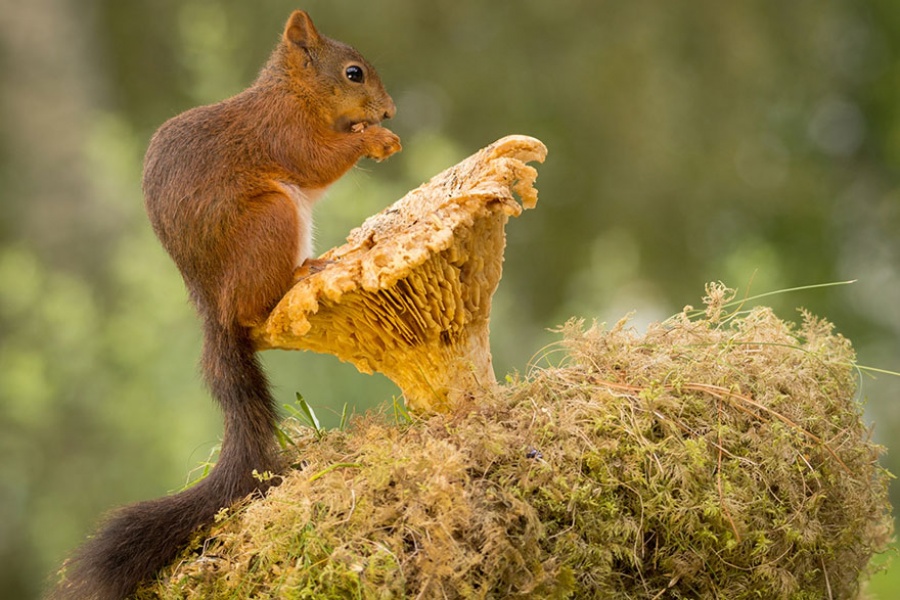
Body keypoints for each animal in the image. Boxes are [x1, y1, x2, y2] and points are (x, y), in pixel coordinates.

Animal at [51, 10, 400, 600]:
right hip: (272, 220)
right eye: (353, 73)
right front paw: (374, 138)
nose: (389, 110)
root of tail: (211, 304)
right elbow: (317, 161)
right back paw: (304, 274)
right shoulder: (283, 131)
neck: (294, 92)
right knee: (252, 311)